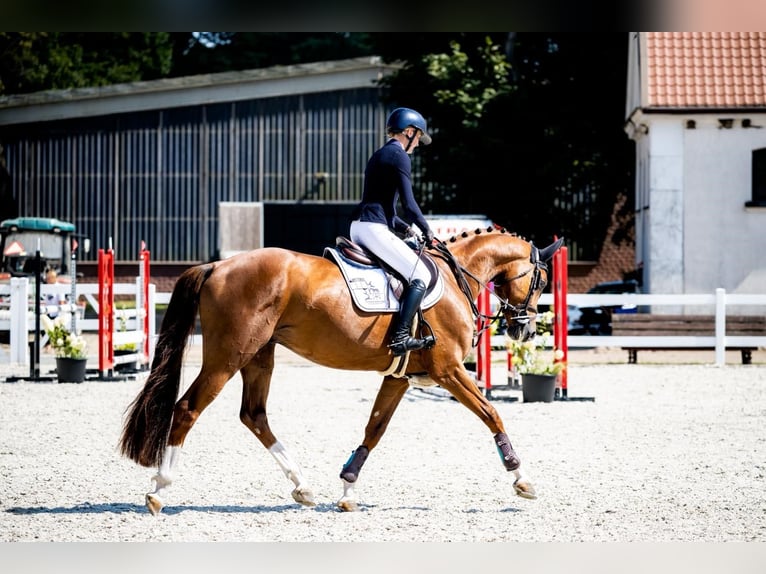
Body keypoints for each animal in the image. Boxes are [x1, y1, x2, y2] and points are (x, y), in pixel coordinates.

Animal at [119, 227, 564, 514]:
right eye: (542, 281)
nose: (524, 329)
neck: (458, 280)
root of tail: (217, 266)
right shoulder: (449, 370)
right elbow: (492, 414)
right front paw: (522, 479)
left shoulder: (400, 377)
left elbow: (375, 428)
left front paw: (348, 486)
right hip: (228, 356)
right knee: (188, 408)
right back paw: (160, 489)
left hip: (259, 356)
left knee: (254, 415)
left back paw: (303, 487)